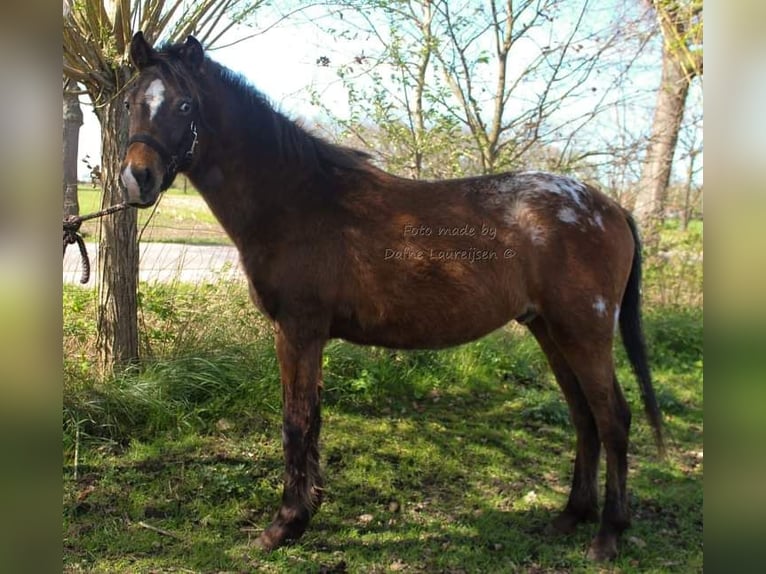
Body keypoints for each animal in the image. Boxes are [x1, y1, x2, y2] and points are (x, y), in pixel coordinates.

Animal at [121, 31, 664, 564]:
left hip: (585, 331)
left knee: (612, 418)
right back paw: (571, 516)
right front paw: (304, 514)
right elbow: (310, 422)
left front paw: (283, 526)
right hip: (550, 330)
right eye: (130, 101)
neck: (299, 200)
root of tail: (610, 207)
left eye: (185, 105)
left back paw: (608, 535)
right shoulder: (306, 336)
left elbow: (296, 422)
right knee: (584, 418)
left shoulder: (298, 331)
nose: (136, 178)